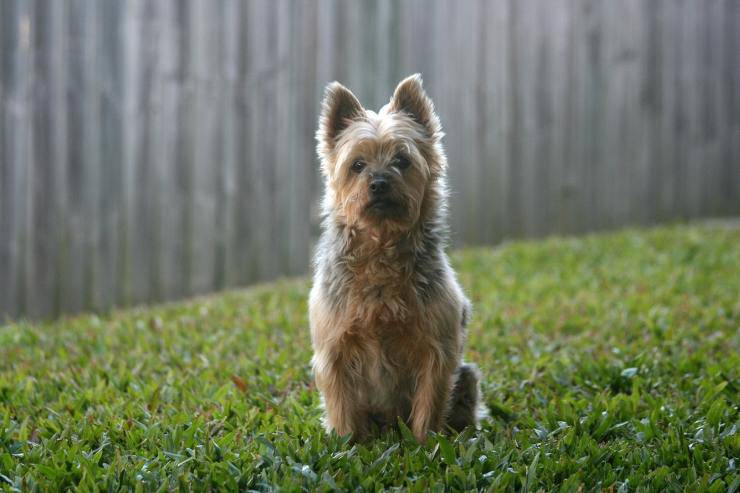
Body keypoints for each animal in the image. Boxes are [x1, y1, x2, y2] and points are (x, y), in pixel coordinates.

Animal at [310, 74, 482, 442]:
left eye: (402, 161)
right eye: (357, 165)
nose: (378, 183)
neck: (381, 246)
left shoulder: (437, 349)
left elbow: (430, 400)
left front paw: (425, 443)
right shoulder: (335, 349)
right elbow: (341, 404)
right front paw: (348, 444)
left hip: (468, 377)